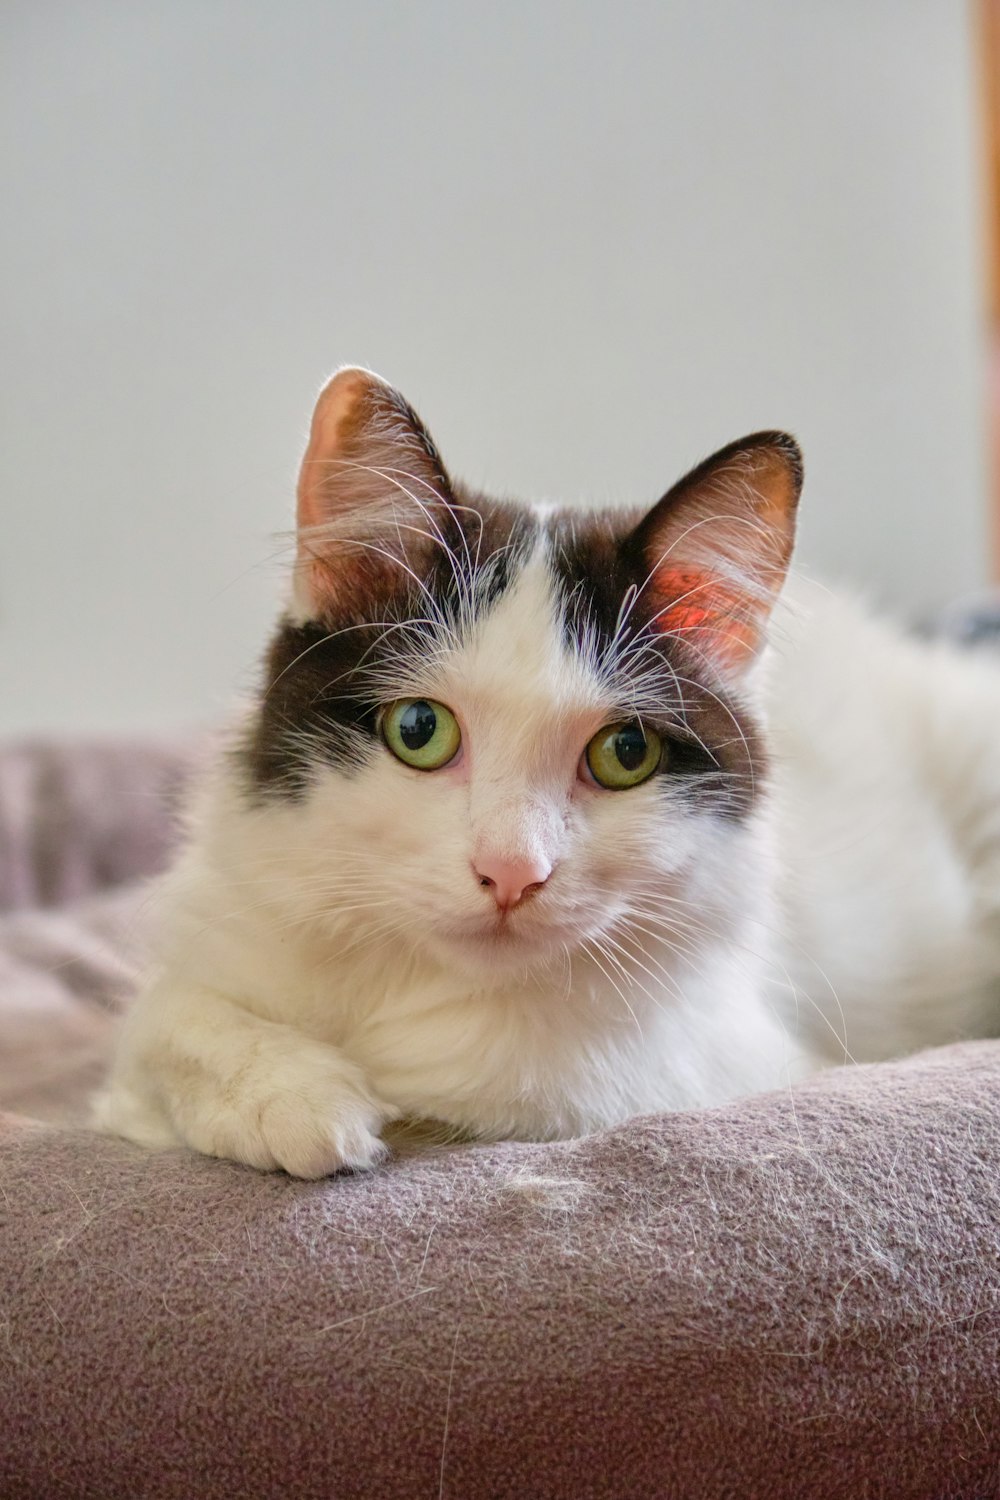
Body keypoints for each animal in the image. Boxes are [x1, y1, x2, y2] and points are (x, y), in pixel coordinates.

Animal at [95, 363, 1000, 1170]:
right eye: (419, 729)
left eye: (625, 753)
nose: (511, 873)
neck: (410, 977)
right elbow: (161, 1023)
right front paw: (288, 1096)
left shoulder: (707, 1052)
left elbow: (502, 1089)